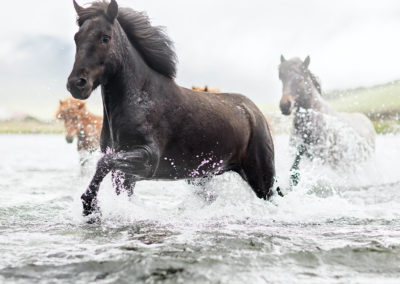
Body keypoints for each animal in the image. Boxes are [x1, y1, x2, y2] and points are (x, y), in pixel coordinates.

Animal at [66, 0, 278, 216]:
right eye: (77, 37)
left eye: (105, 38)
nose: (77, 84)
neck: (140, 99)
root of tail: (254, 111)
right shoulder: (124, 173)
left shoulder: (148, 158)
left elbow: (103, 163)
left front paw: (89, 205)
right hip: (202, 177)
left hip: (261, 177)